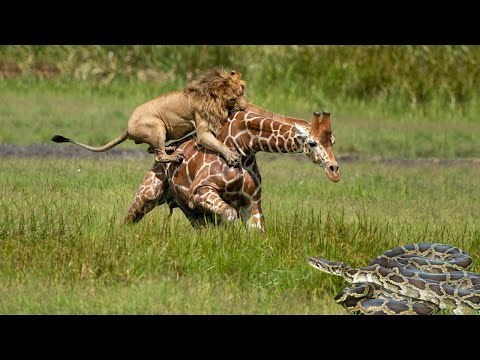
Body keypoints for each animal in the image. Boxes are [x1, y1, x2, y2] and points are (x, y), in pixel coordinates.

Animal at [52, 68, 248, 165]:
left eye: (241, 93)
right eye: (233, 98)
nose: (245, 107)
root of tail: (127, 129)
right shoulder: (203, 132)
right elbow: (217, 143)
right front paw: (231, 156)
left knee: (151, 149)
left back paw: (170, 148)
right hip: (157, 126)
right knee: (157, 156)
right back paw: (173, 156)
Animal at [125, 111, 340, 232]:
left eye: (333, 141)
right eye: (312, 143)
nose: (334, 171)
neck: (245, 147)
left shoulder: (252, 203)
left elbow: (257, 231)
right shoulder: (200, 191)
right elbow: (228, 216)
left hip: (188, 210)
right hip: (149, 192)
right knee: (127, 220)